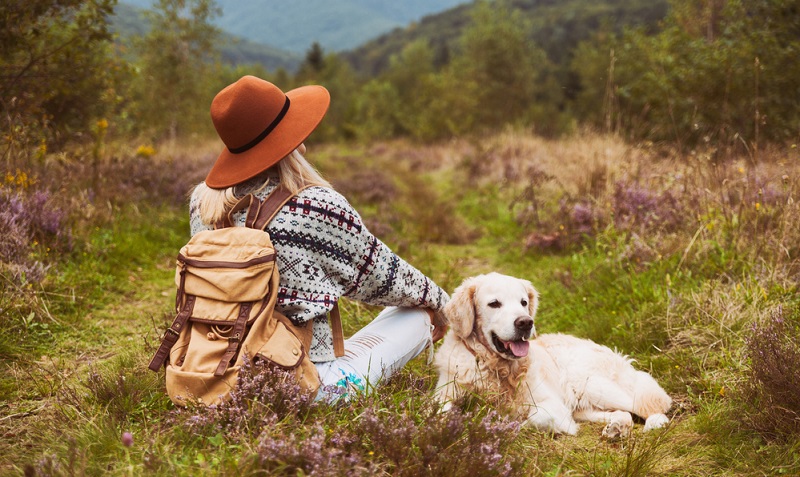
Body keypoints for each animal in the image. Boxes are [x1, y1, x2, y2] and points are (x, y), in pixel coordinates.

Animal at [434, 272, 672, 436]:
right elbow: (437, 413)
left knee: (650, 405)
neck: (497, 368)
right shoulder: (444, 394)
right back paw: (617, 428)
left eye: (523, 302)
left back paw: (654, 423)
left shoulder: (552, 406)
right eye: (494, 304)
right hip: (584, 404)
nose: (525, 322)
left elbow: (531, 417)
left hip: (588, 383)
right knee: (624, 414)